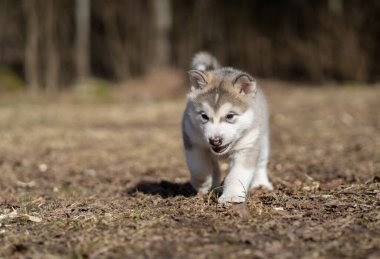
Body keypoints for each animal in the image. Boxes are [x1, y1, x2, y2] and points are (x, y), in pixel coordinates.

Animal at [183, 51, 272, 204]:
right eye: (204, 116)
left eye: (230, 116)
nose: (215, 141)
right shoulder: (192, 139)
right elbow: (198, 167)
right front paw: (204, 185)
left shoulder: (246, 147)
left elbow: (237, 174)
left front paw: (231, 196)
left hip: (263, 141)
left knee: (261, 164)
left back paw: (261, 184)